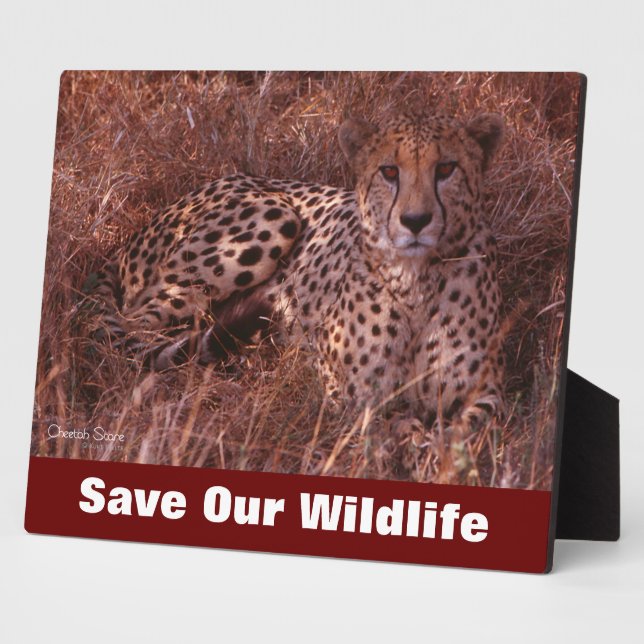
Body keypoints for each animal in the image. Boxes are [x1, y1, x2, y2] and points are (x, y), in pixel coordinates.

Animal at [89, 110, 506, 425]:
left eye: (446, 168)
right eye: (389, 171)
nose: (415, 221)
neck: (415, 281)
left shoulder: (487, 394)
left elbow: (465, 430)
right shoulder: (345, 393)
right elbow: (390, 425)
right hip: (274, 217)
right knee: (135, 327)